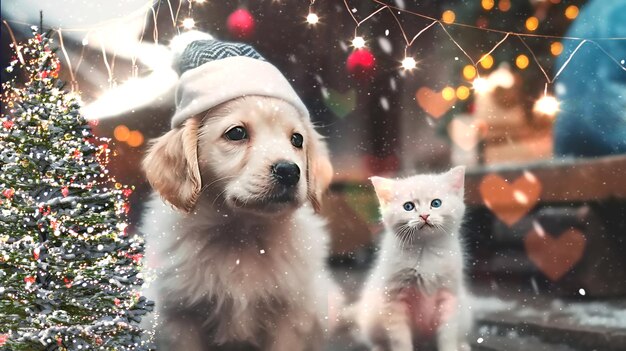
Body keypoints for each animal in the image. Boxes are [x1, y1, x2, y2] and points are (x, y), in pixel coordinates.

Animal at [140, 96, 338, 351]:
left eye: (297, 139)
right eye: (236, 133)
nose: (289, 171)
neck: (242, 236)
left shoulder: (290, 317)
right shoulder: (179, 318)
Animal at [352, 168, 468, 351]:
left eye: (436, 203)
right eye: (408, 206)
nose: (424, 215)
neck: (425, 250)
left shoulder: (449, 293)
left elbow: (448, 333)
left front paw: (451, 347)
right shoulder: (393, 298)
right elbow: (400, 337)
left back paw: (462, 345)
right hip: (370, 317)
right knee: (374, 338)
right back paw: (379, 347)